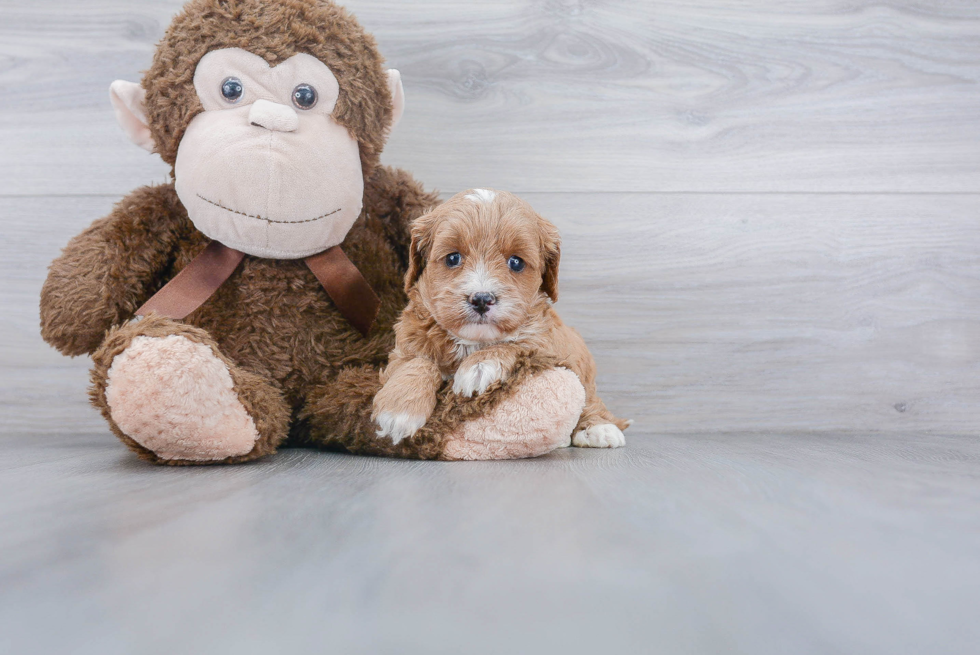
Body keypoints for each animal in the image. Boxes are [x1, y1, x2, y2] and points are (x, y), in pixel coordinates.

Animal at [372, 187, 632, 448]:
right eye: (453, 258)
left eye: (515, 262)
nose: (481, 299)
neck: (473, 341)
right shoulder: (403, 348)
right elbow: (417, 362)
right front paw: (399, 409)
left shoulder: (546, 344)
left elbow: (517, 344)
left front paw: (479, 366)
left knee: (589, 396)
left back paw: (598, 428)